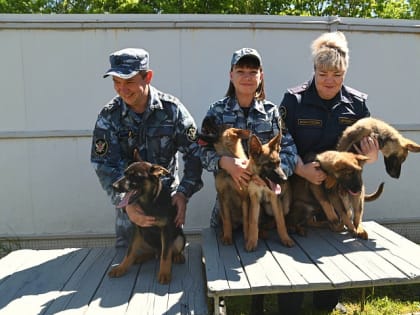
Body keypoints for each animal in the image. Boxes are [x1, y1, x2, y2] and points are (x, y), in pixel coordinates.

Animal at [199, 116, 292, 252]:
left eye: (279, 162)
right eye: (268, 165)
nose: (284, 179)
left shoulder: (247, 199)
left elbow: (274, 221)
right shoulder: (224, 197)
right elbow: (231, 221)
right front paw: (228, 237)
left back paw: (263, 232)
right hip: (221, 211)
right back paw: (224, 233)